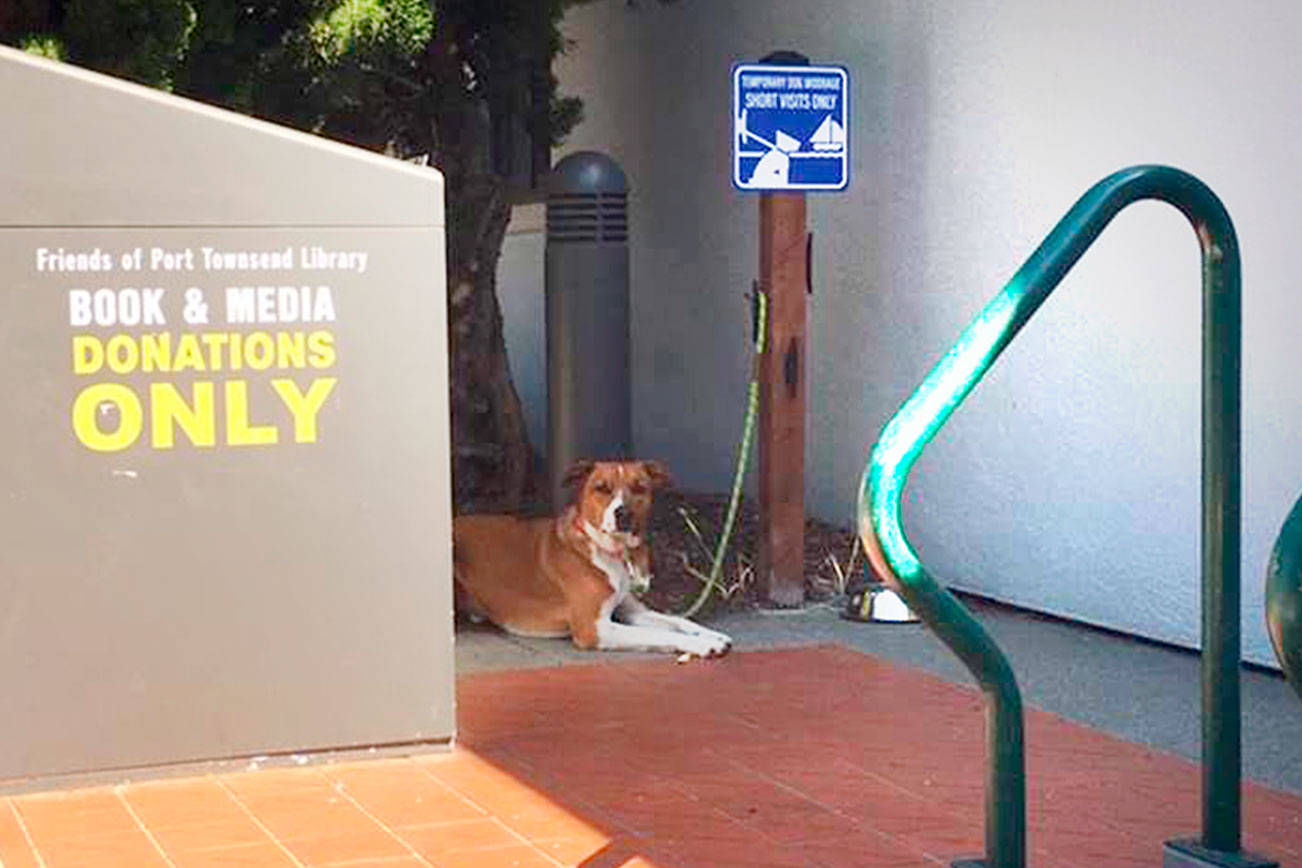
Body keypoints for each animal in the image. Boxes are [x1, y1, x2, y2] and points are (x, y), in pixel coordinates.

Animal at [450, 460, 734, 658]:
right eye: (602, 488)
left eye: (639, 487)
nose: (623, 513)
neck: (612, 552)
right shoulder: (594, 629)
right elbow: (654, 633)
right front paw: (701, 643)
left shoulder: (631, 611)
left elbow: (676, 620)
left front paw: (713, 634)